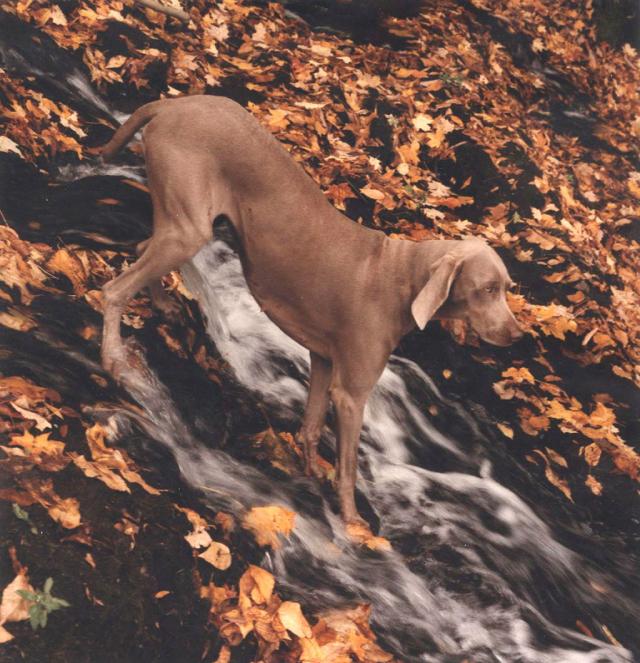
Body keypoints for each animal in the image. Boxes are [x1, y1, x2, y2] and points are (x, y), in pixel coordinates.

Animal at [99, 96, 520, 528]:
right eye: (487, 289)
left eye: (507, 289)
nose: (516, 335)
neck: (400, 277)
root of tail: (174, 101)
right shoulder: (352, 395)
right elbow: (348, 467)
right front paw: (352, 521)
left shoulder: (322, 360)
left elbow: (312, 427)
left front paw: (312, 474)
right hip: (188, 230)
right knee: (114, 290)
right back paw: (114, 358)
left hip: (179, 224)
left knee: (140, 249)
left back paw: (163, 305)